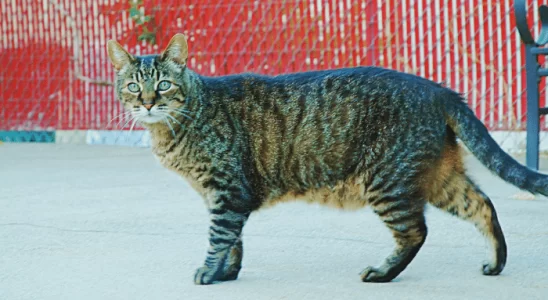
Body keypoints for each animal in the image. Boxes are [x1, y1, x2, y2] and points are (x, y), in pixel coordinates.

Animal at [107, 34, 548, 284]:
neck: (176, 130)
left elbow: (219, 236)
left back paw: (382, 273)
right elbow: (234, 241)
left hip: (388, 181)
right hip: (438, 178)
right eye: (133, 86)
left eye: (164, 85)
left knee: (416, 231)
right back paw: (496, 263)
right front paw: (227, 273)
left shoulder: (227, 190)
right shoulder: (223, 194)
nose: (148, 103)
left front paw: (209, 271)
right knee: (483, 205)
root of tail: (438, 88)